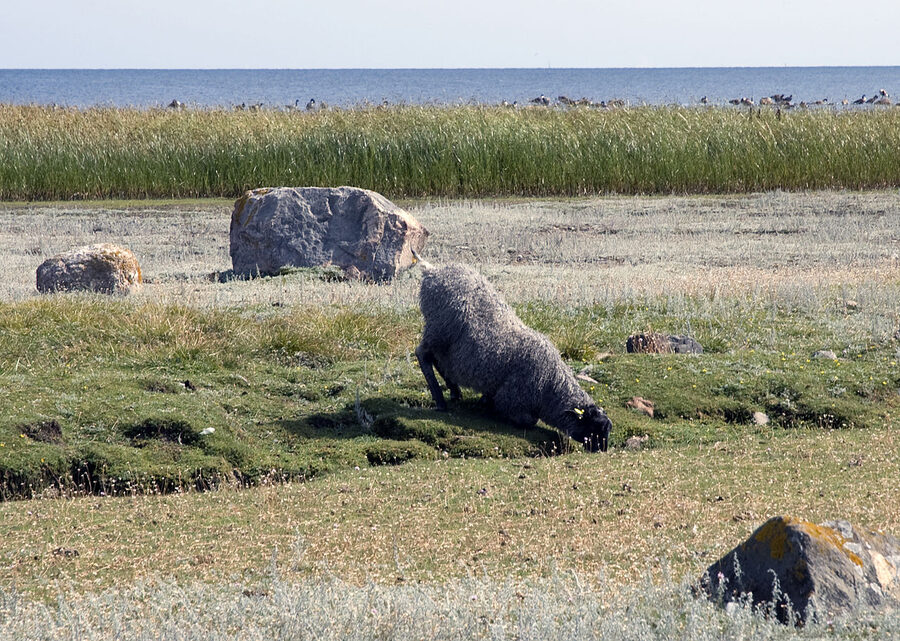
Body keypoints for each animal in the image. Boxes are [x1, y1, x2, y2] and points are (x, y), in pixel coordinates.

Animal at [412, 254, 612, 452]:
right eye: (595, 427)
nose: (602, 450)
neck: (549, 385)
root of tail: (432, 271)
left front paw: (484, 403)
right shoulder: (511, 399)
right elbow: (529, 420)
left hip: (444, 343)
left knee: (438, 360)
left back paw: (455, 392)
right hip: (438, 330)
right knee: (422, 354)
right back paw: (440, 402)